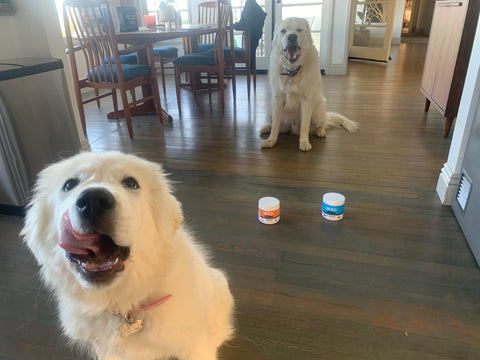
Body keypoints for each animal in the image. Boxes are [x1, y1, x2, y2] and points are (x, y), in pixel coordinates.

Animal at [260, 17, 358, 150]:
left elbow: (305, 126)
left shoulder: (306, 102)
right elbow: (275, 125)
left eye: (299, 30)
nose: (292, 36)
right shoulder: (278, 100)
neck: (292, 72)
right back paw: (266, 128)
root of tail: (292, 128)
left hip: (317, 111)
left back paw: (320, 132)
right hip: (271, 108)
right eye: (283, 31)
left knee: (320, 125)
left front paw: (304, 142)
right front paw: (271, 140)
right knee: (279, 127)